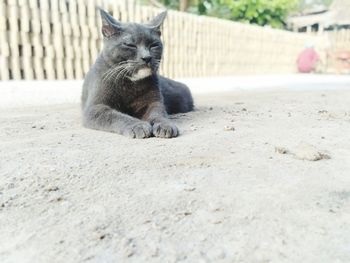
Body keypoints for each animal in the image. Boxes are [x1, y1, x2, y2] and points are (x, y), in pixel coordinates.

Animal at [82, 8, 194, 138]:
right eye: (130, 45)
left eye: (154, 45)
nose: (147, 57)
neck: (131, 83)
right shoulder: (95, 108)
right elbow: (116, 116)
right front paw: (137, 126)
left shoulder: (154, 102)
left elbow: (158, 113)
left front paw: (165, 125)